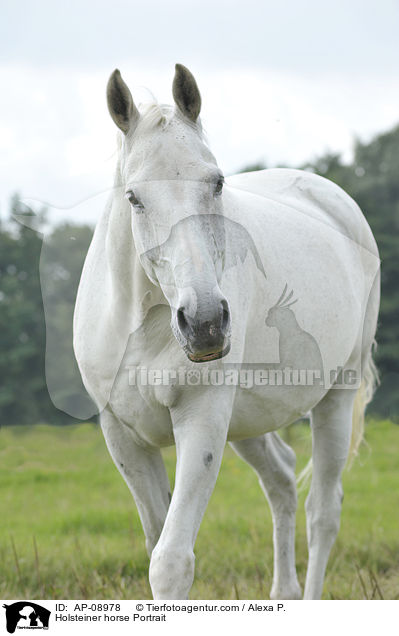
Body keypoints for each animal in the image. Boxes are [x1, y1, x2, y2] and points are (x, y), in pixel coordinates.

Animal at [73, 62, 382, 600]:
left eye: (216, 182)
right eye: (133, 197)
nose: (205, 324)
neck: (146, 328)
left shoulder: (202, 420)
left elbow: (170, 561)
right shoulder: (123, 437)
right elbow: (156, 543)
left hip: (335, 398)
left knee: (323, 512)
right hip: (249, 420)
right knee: (282, 481)